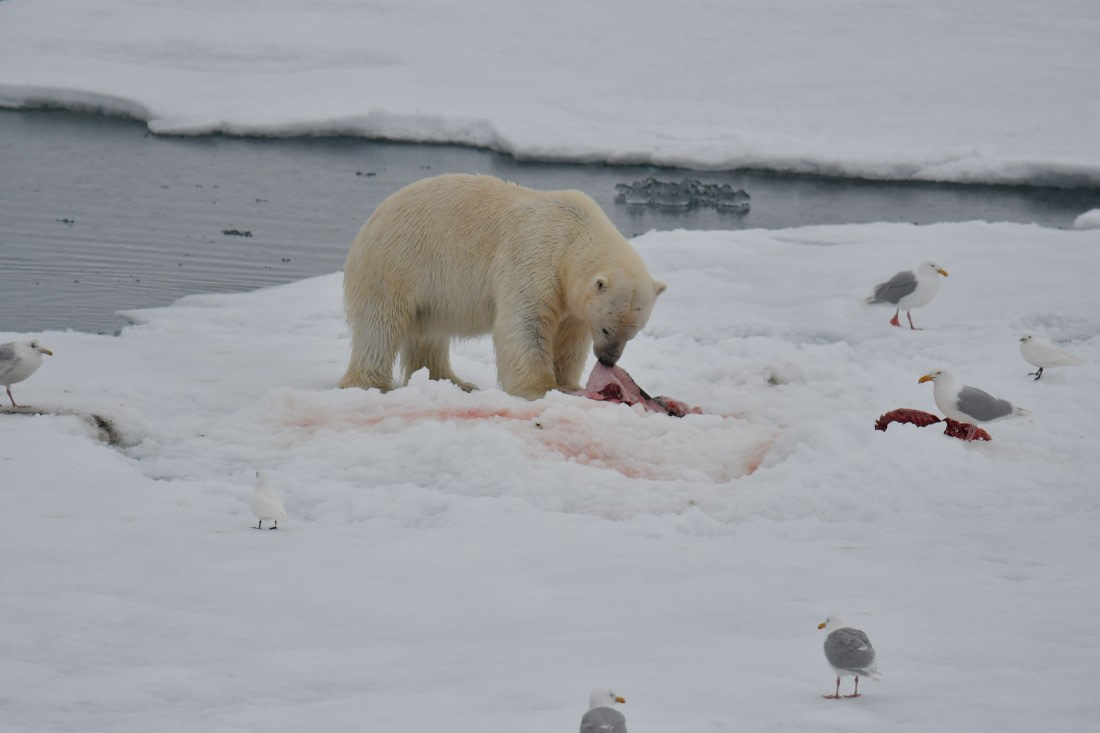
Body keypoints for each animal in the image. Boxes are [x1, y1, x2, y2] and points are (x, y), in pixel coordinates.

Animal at [339, 173, 666, 400]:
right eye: (607, 329)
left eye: (632, 332)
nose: (608, 359)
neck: (573, 234)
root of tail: (371, 221)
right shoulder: (536, 257)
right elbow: (525, 324)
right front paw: (541, 388)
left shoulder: (572, 297)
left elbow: (569, 336)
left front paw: (567, 383)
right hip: (395, 264)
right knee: (380, 326)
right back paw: (371, 384)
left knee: (429, 334)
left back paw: (454, 381)